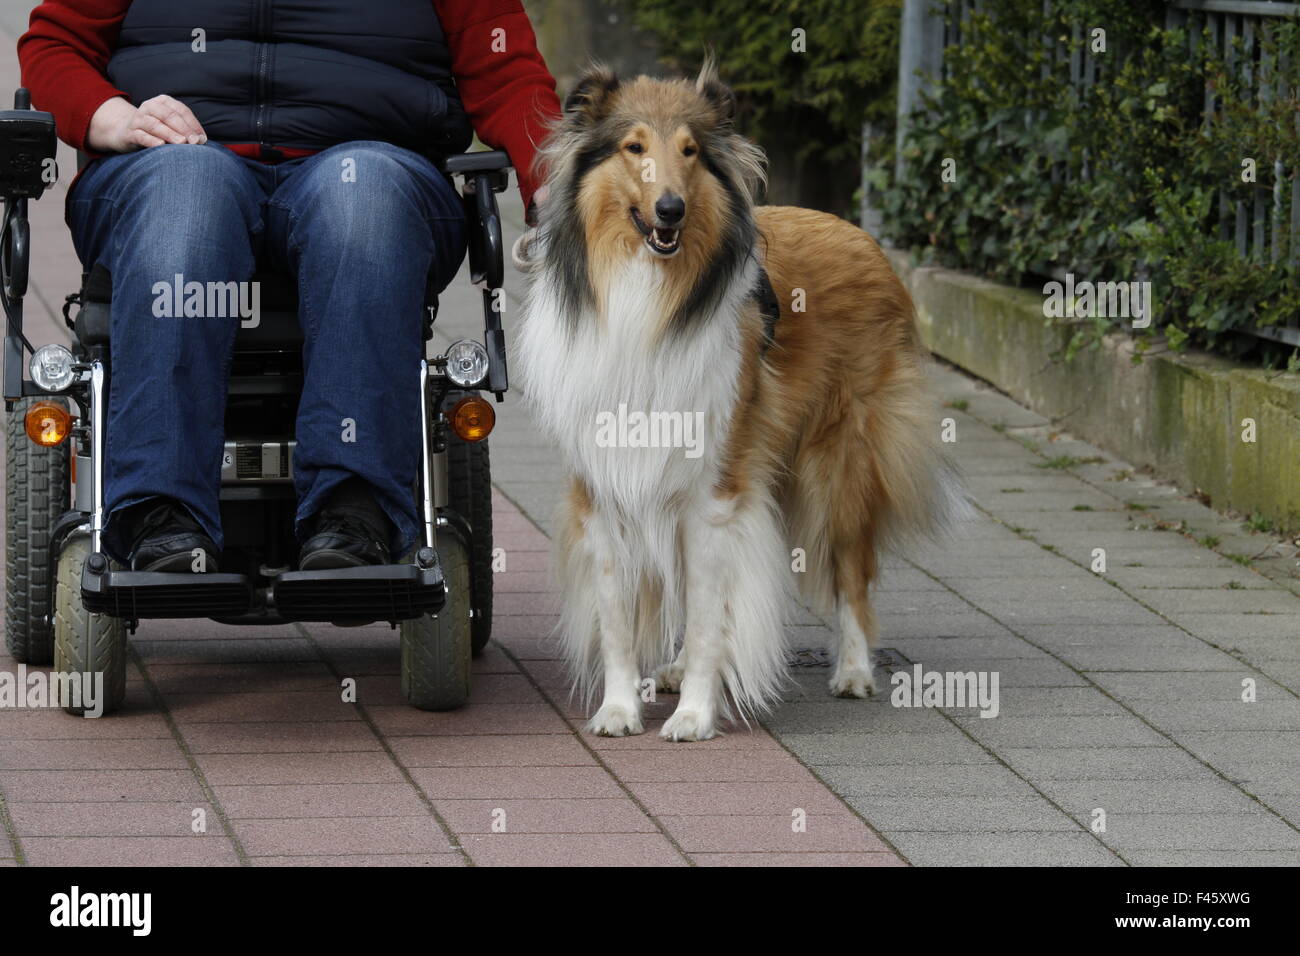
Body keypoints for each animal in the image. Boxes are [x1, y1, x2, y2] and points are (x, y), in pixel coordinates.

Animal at [517, 63, 967, 743]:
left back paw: (854, 671)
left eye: (690, 152)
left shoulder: (716, 490)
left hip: (840, 466)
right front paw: (619, 710)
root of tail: (863, 235)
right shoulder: (606, 485)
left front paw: (695, 715)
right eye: (634, 147)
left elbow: (711, 617)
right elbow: (618, 616)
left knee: (851, 574)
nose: (670, 209)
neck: (648, 294)